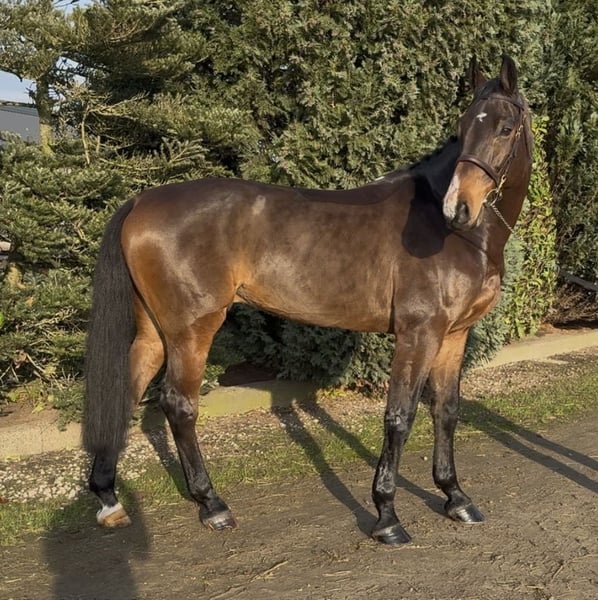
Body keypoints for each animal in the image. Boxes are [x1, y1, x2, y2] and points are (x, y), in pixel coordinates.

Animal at [83, 54, 532, 545]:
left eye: (505, 128)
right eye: (464, 126)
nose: (460, 207)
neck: (444, 229)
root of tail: (141, 201)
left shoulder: (454, 335)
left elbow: (446, 411)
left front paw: (455, 498)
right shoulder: (419, 333)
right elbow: (399, 416)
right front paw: (387, 516)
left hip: (153, 331)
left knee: (127, 391)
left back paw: (108, 499)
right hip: (192, 329)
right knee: (178, 405)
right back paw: (212, 505)